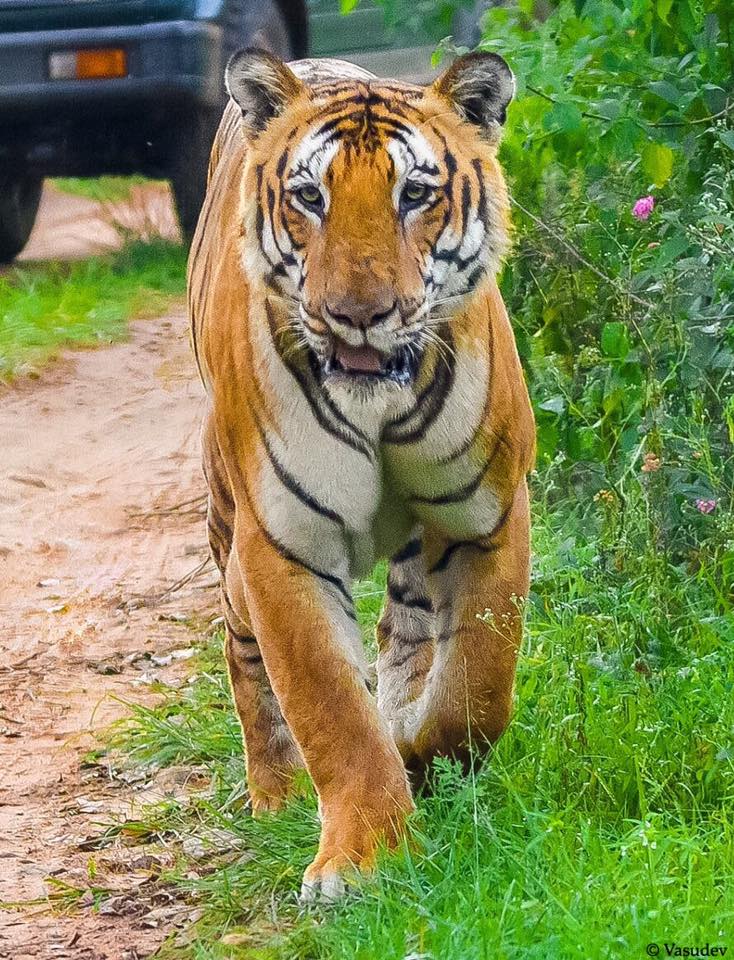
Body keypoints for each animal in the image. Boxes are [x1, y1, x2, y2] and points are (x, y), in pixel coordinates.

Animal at [187, 48, 535, 901]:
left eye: (415, 194)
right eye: (310, 197)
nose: (359, 316)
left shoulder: (488, 514)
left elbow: (477, 685)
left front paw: (425, 758)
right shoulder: (283, 544)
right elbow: (329, 709)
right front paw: (365, 857)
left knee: (406, 627)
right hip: (228, 526)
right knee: (242, 651)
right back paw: (275, 795)